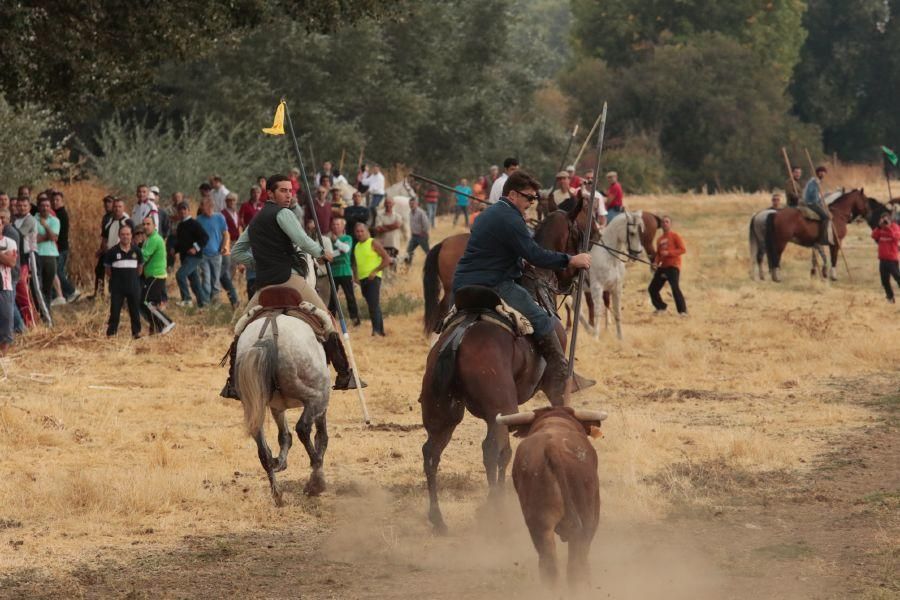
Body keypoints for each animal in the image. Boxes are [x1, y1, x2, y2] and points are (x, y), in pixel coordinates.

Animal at [422, 203, 592, 536]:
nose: (577, 276)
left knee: (432, 453)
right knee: (494, 450)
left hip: (445, 414)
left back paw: (439, 519)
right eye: (578, 231)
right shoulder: (551, 388)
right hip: (499, 408)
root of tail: (458, 339)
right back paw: (496, 509)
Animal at [748, 188, 884, 282]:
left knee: (765, 257)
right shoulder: (836, 243)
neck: (838, 214)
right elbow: (833, 258)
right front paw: (832, 276)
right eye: (865, 200)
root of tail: (773, 214)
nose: (869, 214)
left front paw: (819, 273)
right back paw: (776, 277)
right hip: (780, 241)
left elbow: (819, 257)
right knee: (774, 257)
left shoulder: (817, 243)